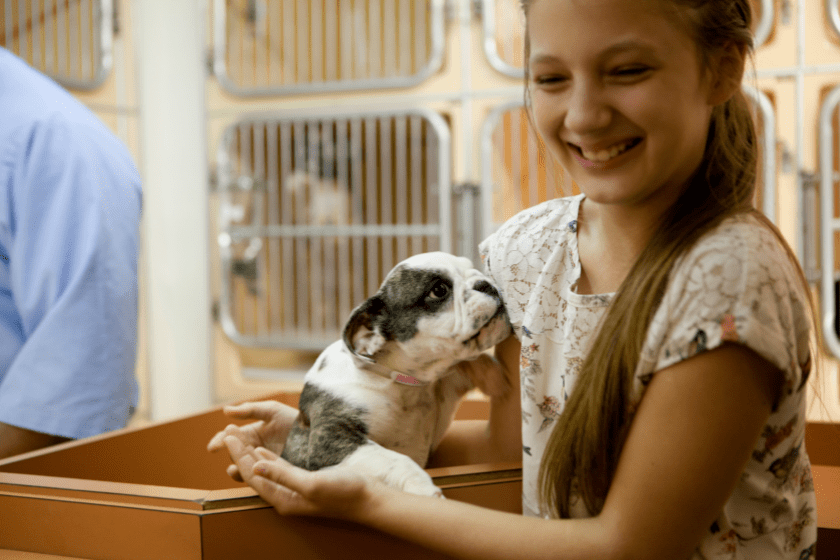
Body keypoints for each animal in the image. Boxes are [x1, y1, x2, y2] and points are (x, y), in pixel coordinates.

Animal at [280, 252, 512, 496]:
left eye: (472, 268)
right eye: (439, 290)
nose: (486, 284)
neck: (399, 382)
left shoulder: (443, 388)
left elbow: (462, 365)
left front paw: (493, 377)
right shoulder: (331, 439)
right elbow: (394, 459)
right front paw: (423, 488)